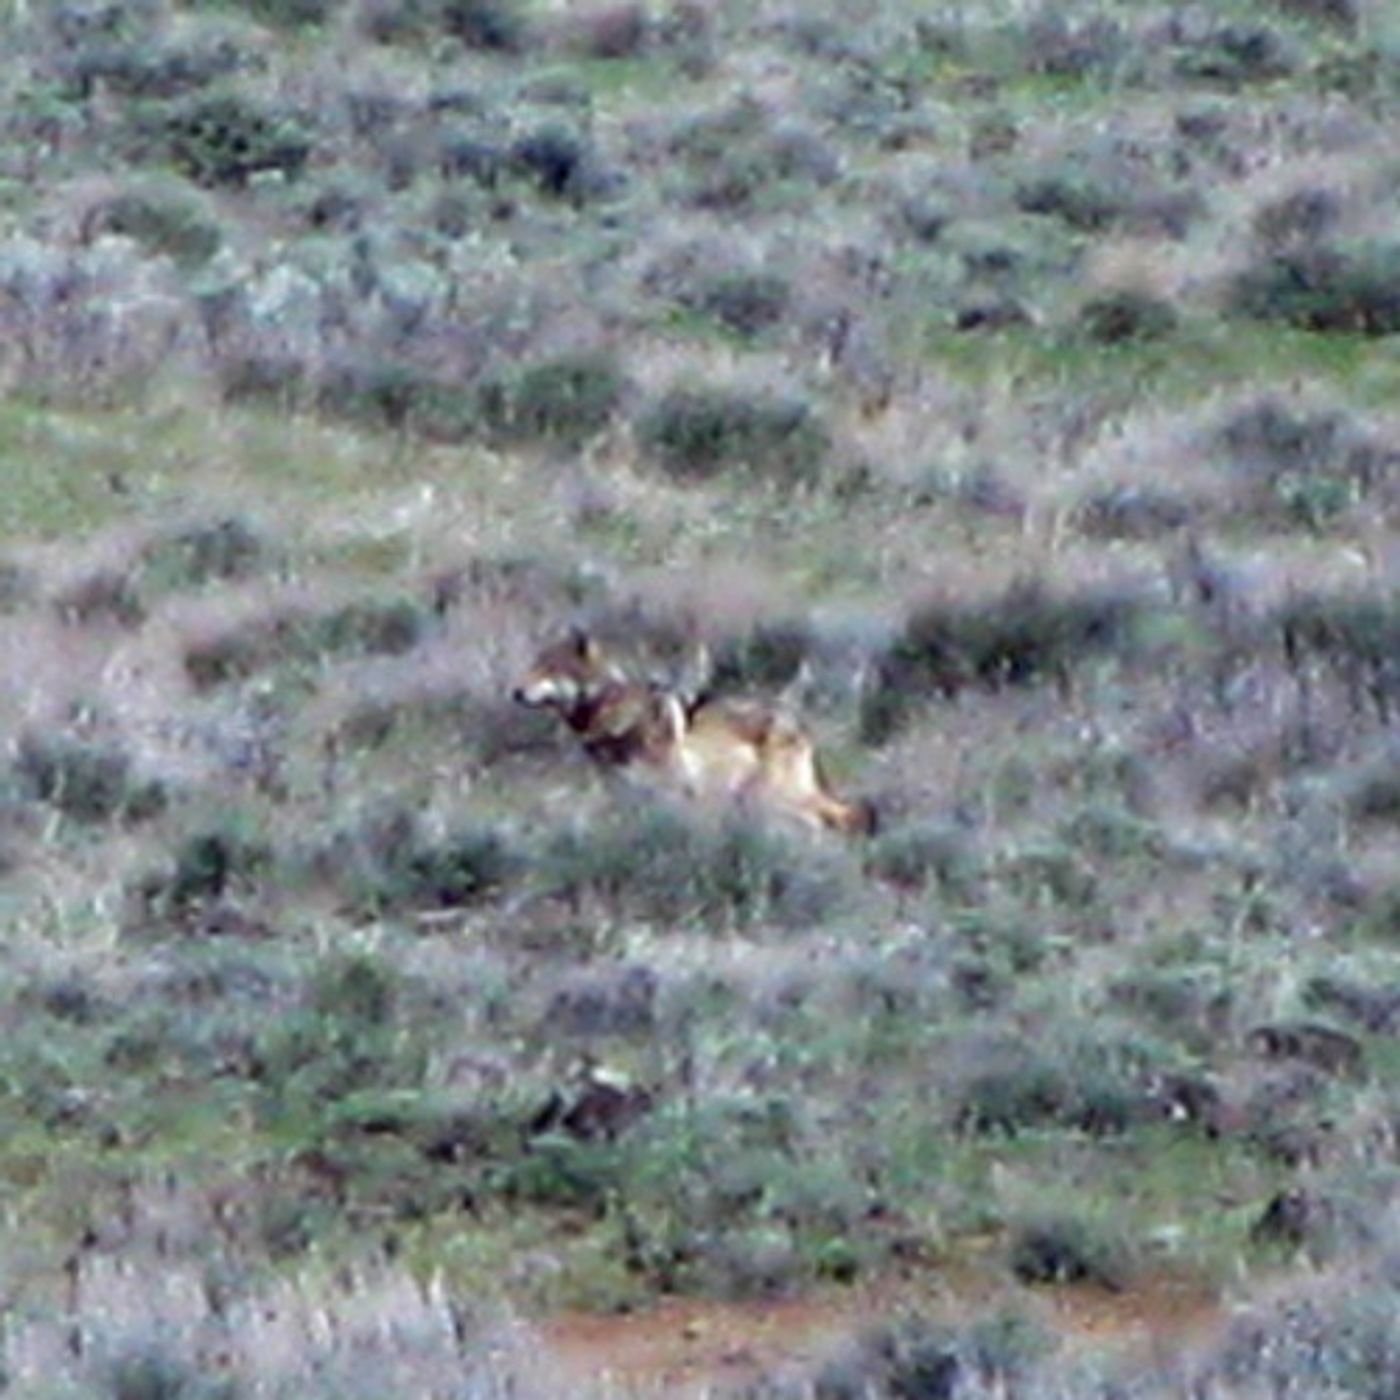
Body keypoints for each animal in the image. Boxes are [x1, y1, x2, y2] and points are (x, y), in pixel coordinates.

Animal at [512, 629, 875, 835]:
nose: (515, 691)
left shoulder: (671, 789)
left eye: (549, 668)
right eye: (532, 664)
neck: (613, 712)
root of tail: (797, 722)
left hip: (773, 797)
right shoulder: (623, 791)